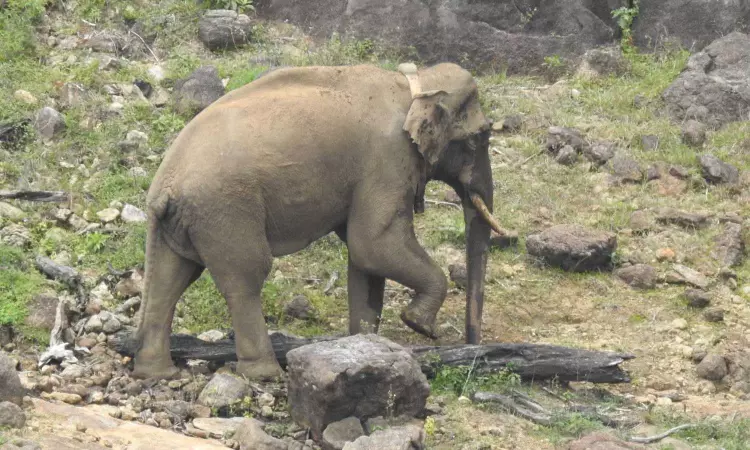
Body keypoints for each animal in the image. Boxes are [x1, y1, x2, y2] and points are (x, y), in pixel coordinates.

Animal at [132, 62, 505, 381]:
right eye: (480, 137)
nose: (474, 346)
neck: (415, 82)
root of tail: (163, 187)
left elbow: (365, 261)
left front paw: (365, 347)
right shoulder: (387, 160)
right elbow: (373, 244)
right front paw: (419, 325)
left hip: (181, 221)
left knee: (169, 278)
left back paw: (157, 373)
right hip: (225, 209)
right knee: (245, 277)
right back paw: (266, 374)